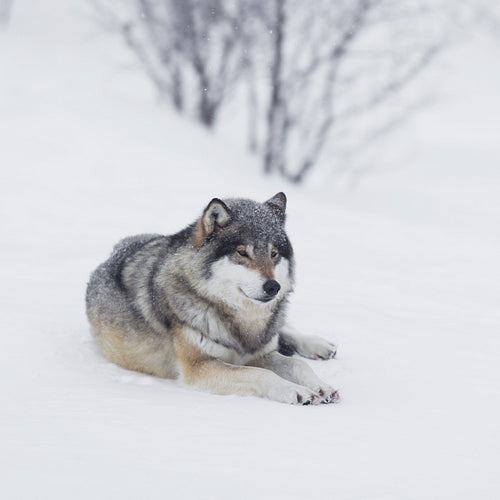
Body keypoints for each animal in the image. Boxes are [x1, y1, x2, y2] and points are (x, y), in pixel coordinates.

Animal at [87, 193, 340, 404]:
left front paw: (321, 386)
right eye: (242, 253)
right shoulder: (199, 367)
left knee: (285, 329)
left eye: (273, 254)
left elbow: (298, 363)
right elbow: (260, 373)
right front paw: (296, 391)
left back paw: (320, 345)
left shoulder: (260, 353)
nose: (273, 287)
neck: (240, 324)